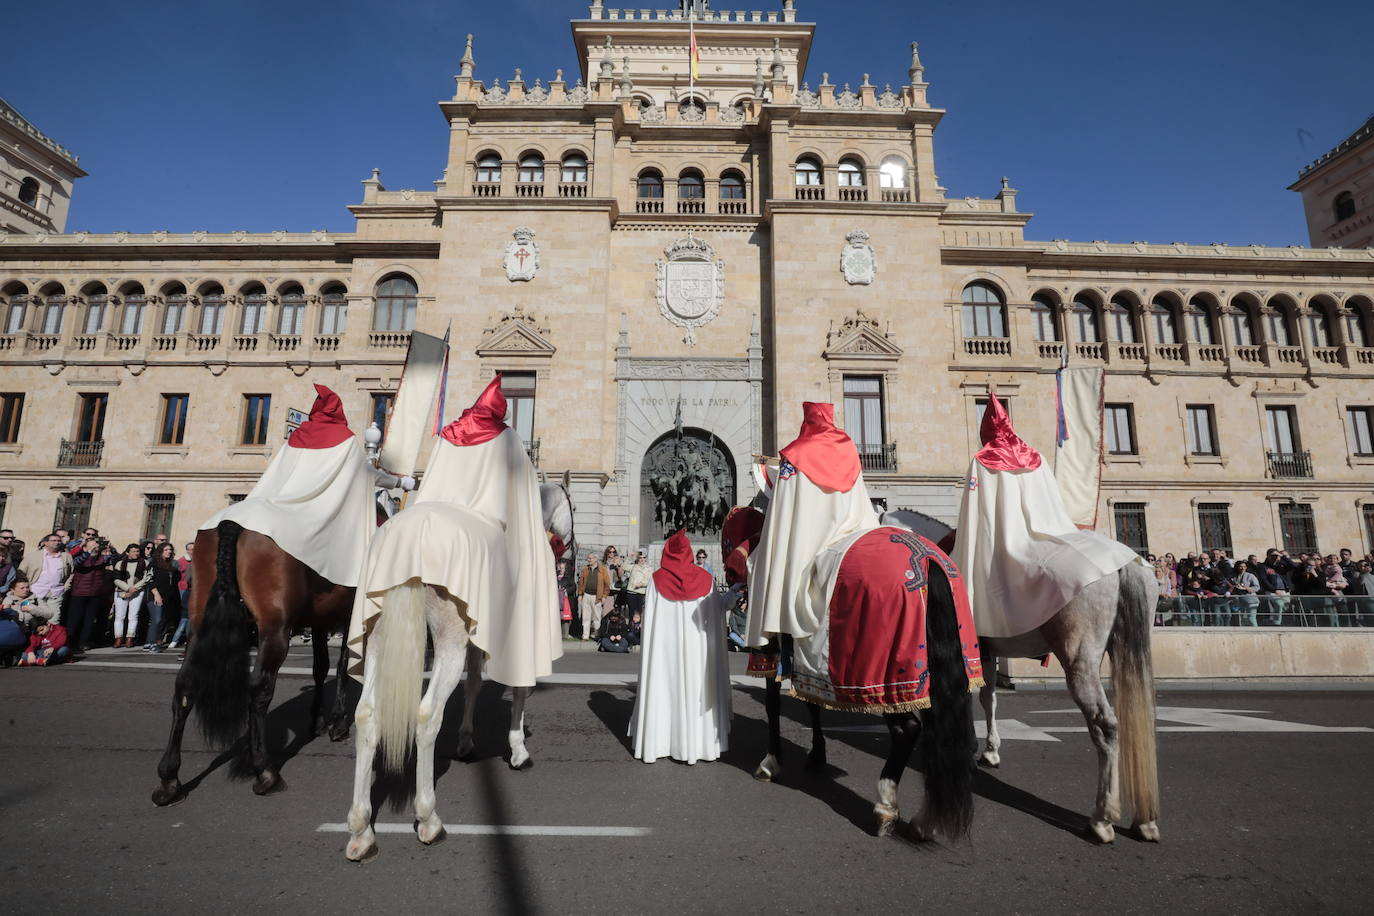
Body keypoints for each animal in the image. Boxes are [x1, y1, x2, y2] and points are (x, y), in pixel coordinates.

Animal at [151, 519, 354, 807]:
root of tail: (231, 523)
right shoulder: (351, 611)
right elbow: (342, 664)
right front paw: (337, 723)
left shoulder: (320, 617)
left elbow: (321, 667)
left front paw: (317, 719)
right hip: (274, 627)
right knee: (259, 689)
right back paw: (264, 772)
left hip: (200, 619)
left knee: (185, 687)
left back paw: (169, 780)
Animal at [348, 483, 579, 862]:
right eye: (573, 506)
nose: (571, 562)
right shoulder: (512, 644)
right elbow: (520, 690)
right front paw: (518, 749)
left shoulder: (476, 639)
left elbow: (473, 686)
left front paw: (467, 740)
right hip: (447, 642)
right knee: (427, 716)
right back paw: (428, 820)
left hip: (379, 640)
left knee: (367, 715)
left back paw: (361, 830)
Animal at [879, 508, 1159, 845]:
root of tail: (1122, 564)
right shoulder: (985, 653)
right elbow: (988, 698)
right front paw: (989, 750)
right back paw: (1144, 821)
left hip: (1081, 662)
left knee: (1106, 727)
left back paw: (1102, 819)